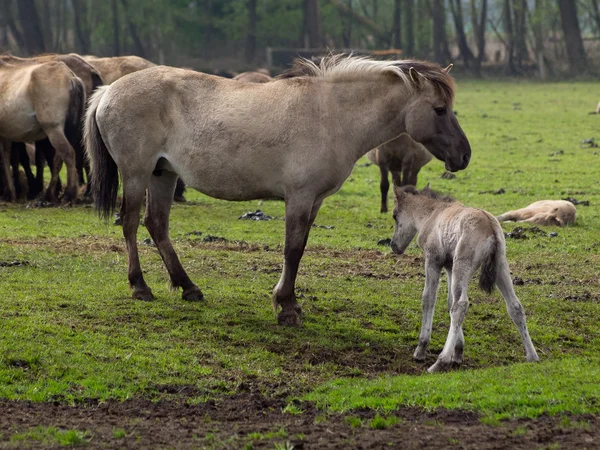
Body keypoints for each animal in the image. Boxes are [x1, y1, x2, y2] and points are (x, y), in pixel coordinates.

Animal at [0, 59, 85, 203]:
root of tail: (69, 76)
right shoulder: (5, 134)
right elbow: (6, 157)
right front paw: (10, 192)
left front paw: (9, 193)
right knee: (58, 159)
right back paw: (50, 194)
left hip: (53, 129)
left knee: (68, 154)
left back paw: (67, 193)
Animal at [84, 54, 472, 326]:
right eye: (440, 109)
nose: (464, 155)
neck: (332, 115)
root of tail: (107, 91)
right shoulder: (298, 198)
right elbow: (293, 250)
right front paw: (285, 306)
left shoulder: (314, 201)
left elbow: (298, 250)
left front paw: (290, 302)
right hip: (137, 174)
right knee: (131, 222)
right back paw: (140, 286)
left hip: (162, 175)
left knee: (156, 225)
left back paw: (188, 287)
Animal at [390, 185, 540, 372]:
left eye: (395, 215)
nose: (393, 245)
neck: (432, 214)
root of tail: (490, 228)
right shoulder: (449, 266)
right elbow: (449, 301)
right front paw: (458, 352)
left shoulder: (433, 261)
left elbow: (429, 299)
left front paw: (421, 350)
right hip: (499, 268)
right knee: (515, 306)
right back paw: (532, 356)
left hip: (462, 265)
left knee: (460, 305)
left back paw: (440, 362)